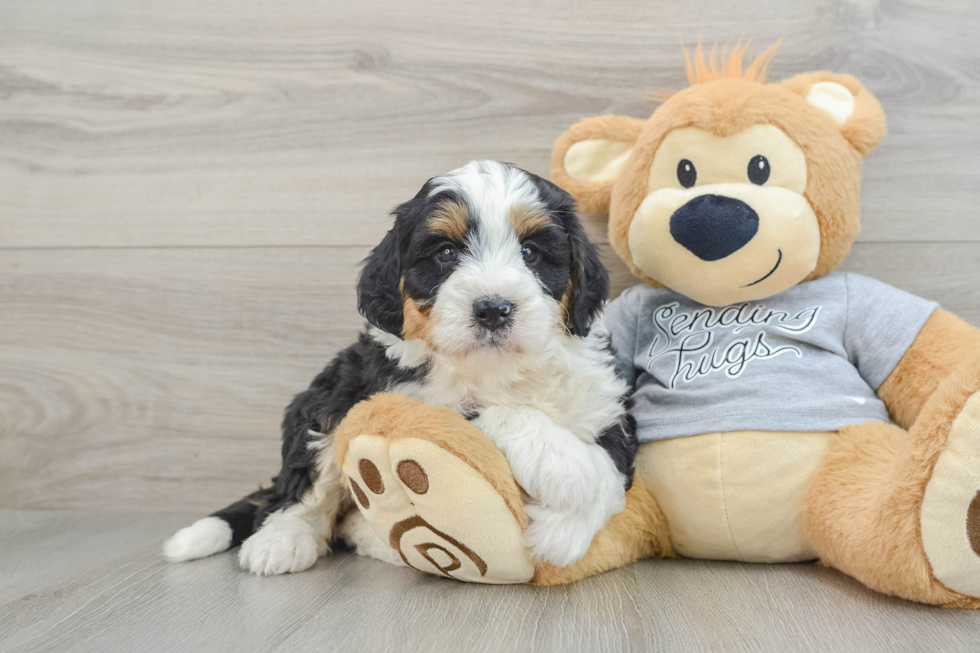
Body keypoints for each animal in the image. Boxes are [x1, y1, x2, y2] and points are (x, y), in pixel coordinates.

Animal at [165, 160, 640, 572]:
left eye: (531, 251)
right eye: (446, 252)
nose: (492, 308)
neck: (501, 369)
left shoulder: (605, 401)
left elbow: (610, 469)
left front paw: (564, 530)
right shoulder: (409, 396)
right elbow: (498, 412)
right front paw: (567, 472)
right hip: (328, 400)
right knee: (302, 489)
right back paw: (281, 541)